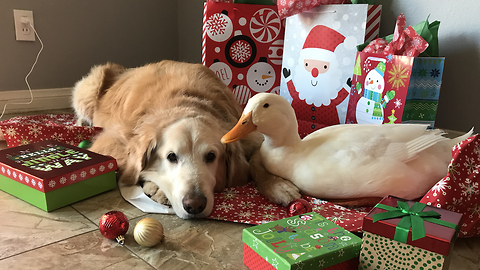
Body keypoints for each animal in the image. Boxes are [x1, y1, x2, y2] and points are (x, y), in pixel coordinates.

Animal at [71, 60, 284, 218]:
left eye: (211, 156)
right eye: (171, 157)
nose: (194, 205)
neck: (188, 103)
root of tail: (123, 69)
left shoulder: (247, 134)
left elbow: (257, 160)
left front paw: (278, 186)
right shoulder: (110, 141)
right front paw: (157, 187)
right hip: (88, 90)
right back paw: (82, 122)